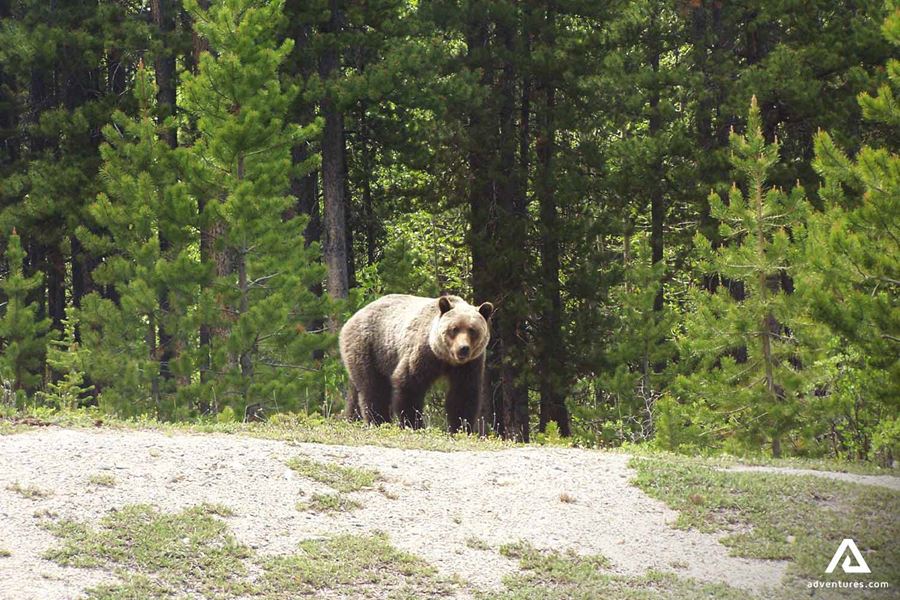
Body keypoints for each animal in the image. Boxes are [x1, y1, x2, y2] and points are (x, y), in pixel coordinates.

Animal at [339, 294, 493, 433]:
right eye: (454, 329)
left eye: (472, 330)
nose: (463, 348)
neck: (446, 358)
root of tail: (353, 317)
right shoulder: (423, 353)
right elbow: (409, 385)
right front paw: (414, 425)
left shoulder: (470, 364)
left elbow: (463, 394)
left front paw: (460, 428)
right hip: (370, 348)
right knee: (373, 387)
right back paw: (379, 421)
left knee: (356, 391)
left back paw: (351, 419)